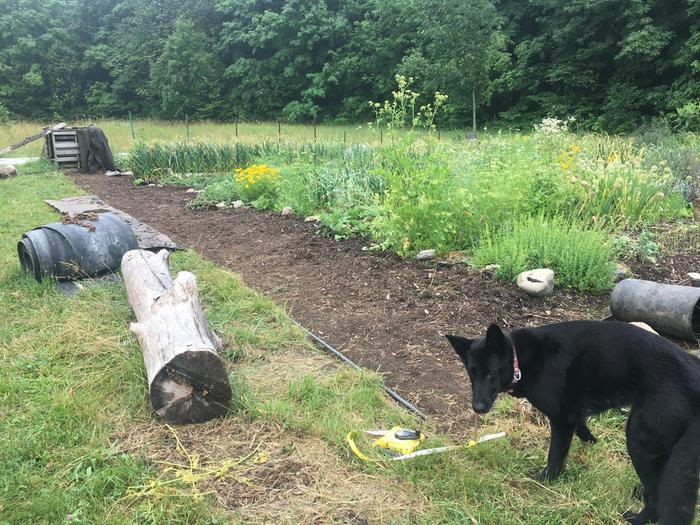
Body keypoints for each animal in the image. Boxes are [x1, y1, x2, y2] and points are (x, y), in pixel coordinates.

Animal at [448, 320, 700, 524]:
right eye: (472, 374)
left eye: (490, 374)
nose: (478, 408)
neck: (520, 360)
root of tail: (692, 380)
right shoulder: (572, 413)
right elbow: (582, 425)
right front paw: (592, 442)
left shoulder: (561, 420)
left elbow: (556, 455)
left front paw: (547, 479)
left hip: (638, 440)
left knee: (656, 495)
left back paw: (637, 519)